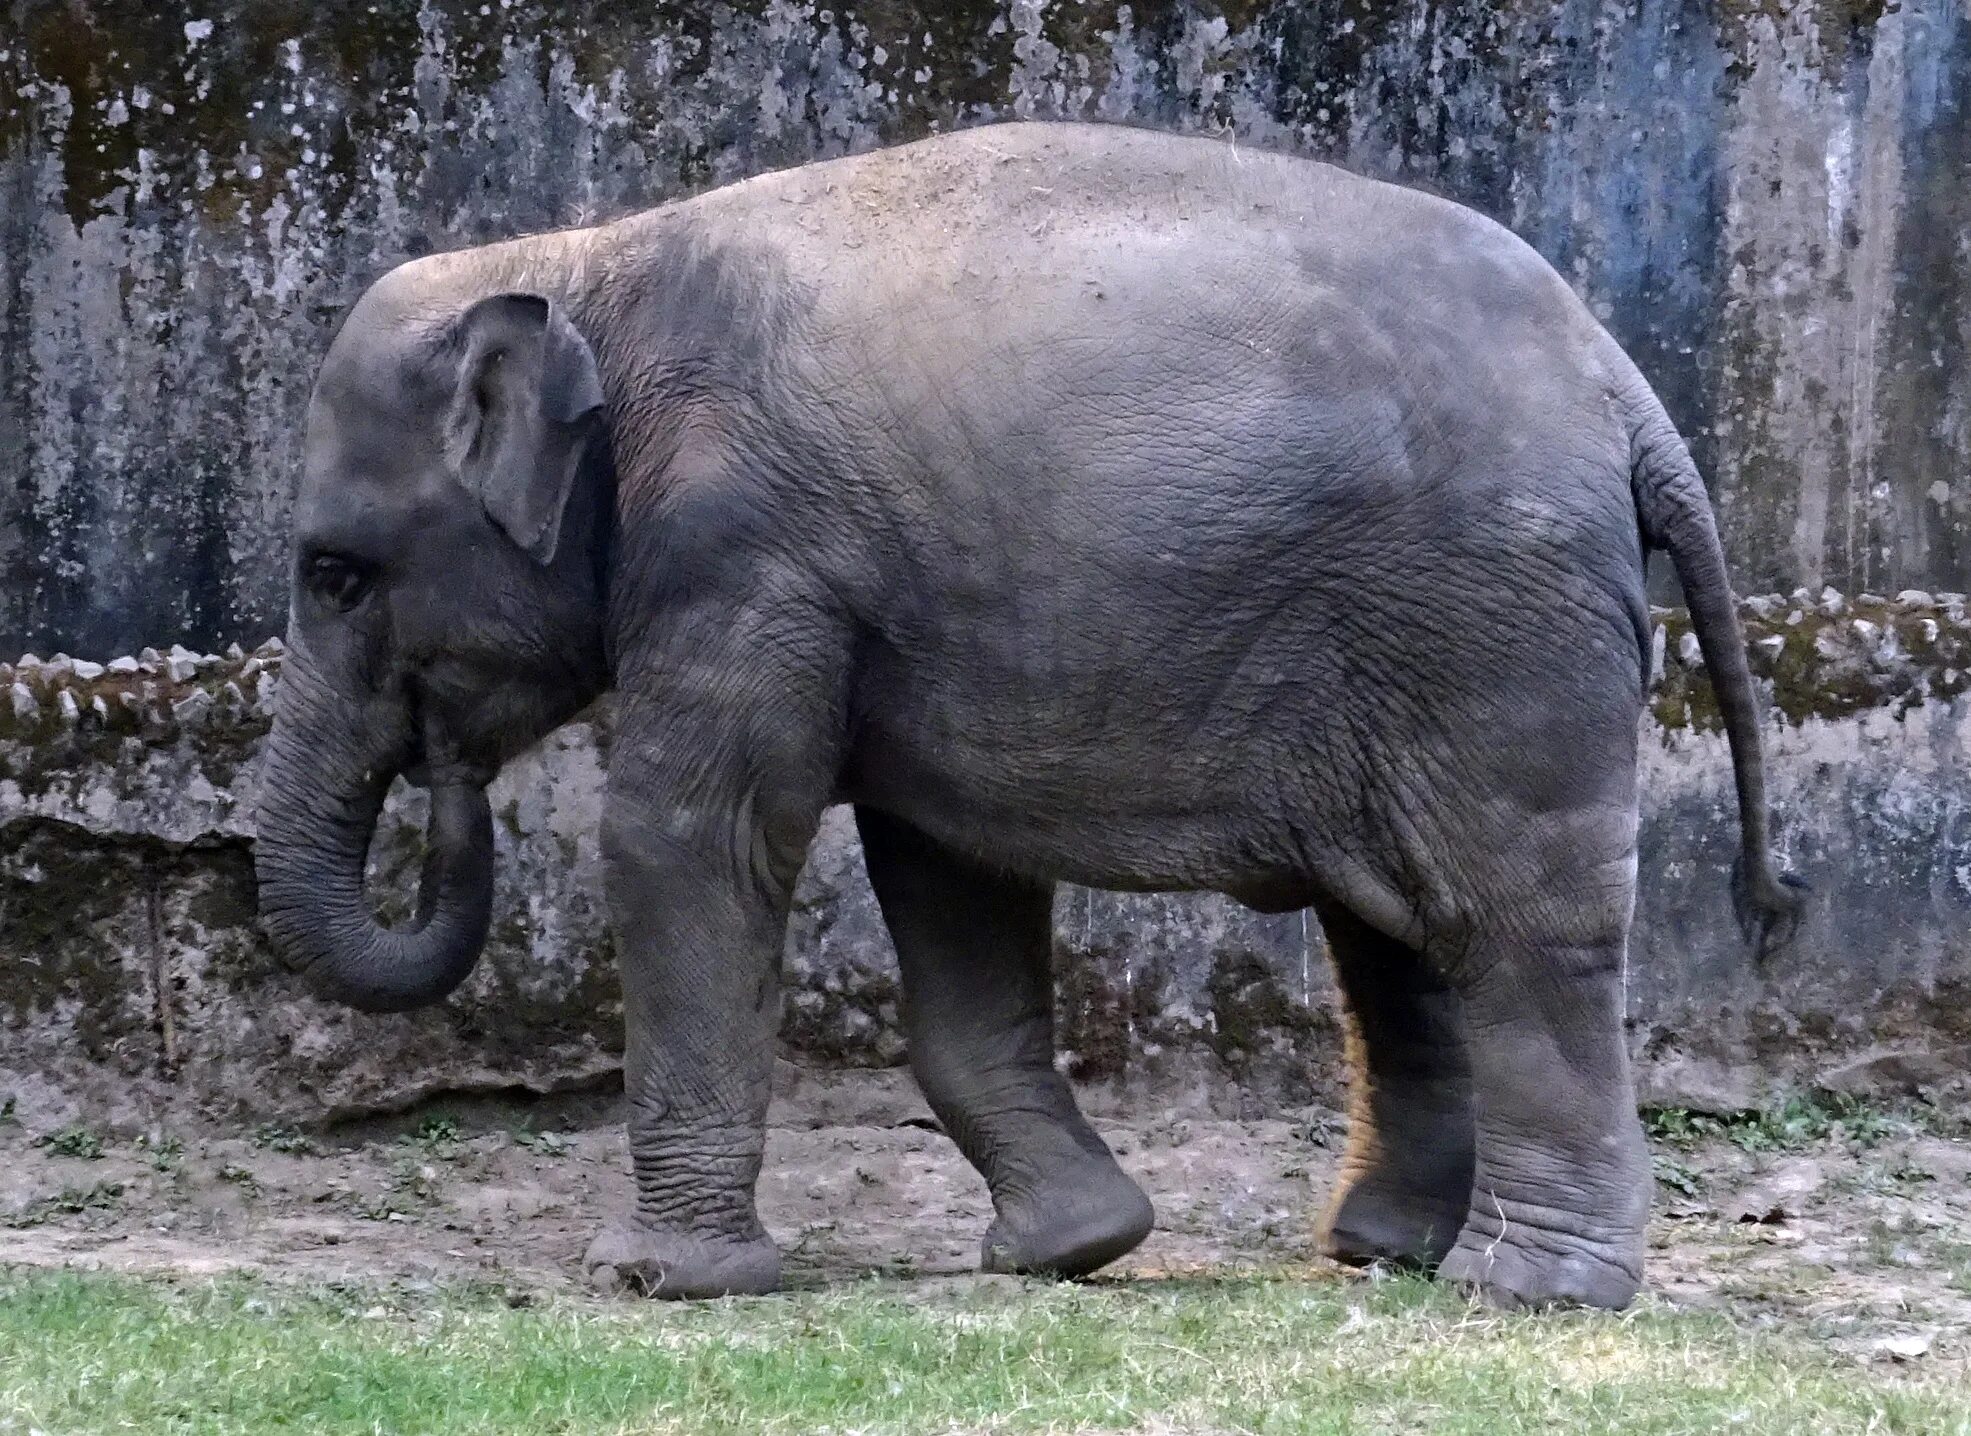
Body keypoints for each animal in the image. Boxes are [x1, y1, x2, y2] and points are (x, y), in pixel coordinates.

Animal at [254, 123, 1805, 1307]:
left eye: (334, 573)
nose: (444, 766)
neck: (588, 261)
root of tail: (1626, 392)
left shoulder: (741, 551)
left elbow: (691, 841)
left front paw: (656, 1279)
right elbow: (949, 875)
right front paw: (1072, 1249)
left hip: (1488, 625)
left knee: (1510, 924)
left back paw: (1523, 1289)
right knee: (1397, 928)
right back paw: (1383, 1252)